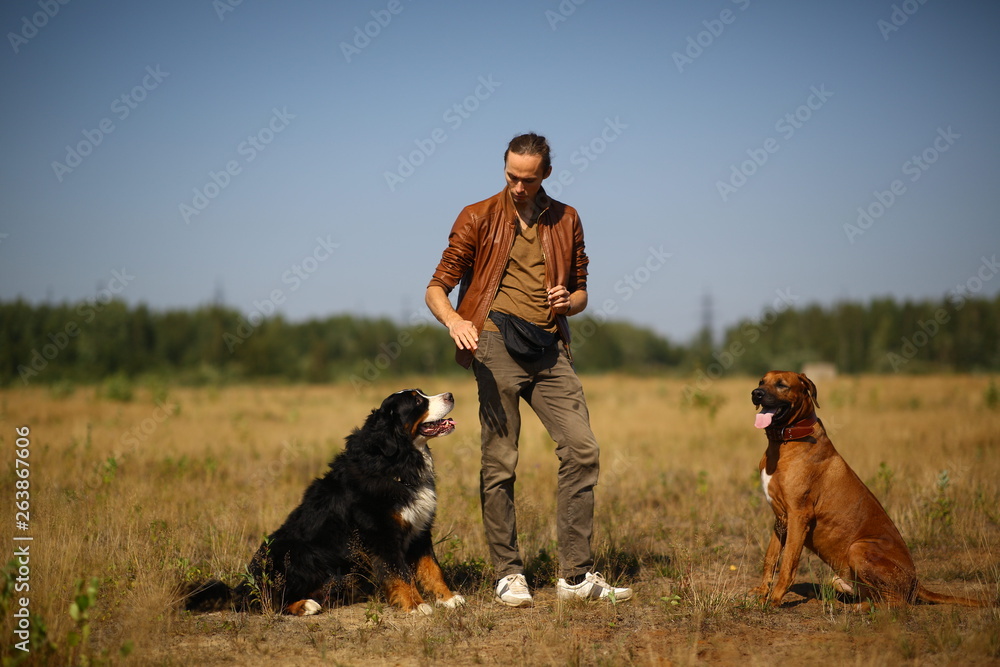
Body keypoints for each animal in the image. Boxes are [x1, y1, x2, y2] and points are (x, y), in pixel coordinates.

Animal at [752, 374, 984, 608]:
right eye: (762, 381)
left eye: (782, 385)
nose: (756, 393)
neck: (787, 439)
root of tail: (916, 583)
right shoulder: (781, 519)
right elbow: (770, 558)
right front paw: (761, 592)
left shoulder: (799, 515)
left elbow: (788, 562)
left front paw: (775, 598)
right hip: (841, 577)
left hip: (859, 548)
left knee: (897, 603)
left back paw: (861, 608)